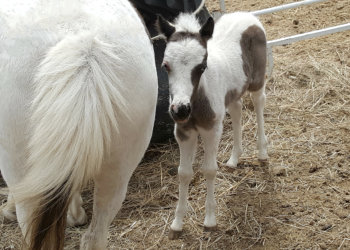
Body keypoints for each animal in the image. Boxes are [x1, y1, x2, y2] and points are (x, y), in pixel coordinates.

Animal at [156, 8, 268, 238]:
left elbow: (208, 169)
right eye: (165, 65)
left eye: (201, 67)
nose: (180, 109)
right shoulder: (183, 132)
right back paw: (234, 159)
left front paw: (209, 219)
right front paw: (177, 223)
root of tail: (247, 15)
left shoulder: (212, 130)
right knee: (237, 109)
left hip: (257, 80)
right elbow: (184, 173)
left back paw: (262, 152)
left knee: (259, 102)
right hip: (233, 92)